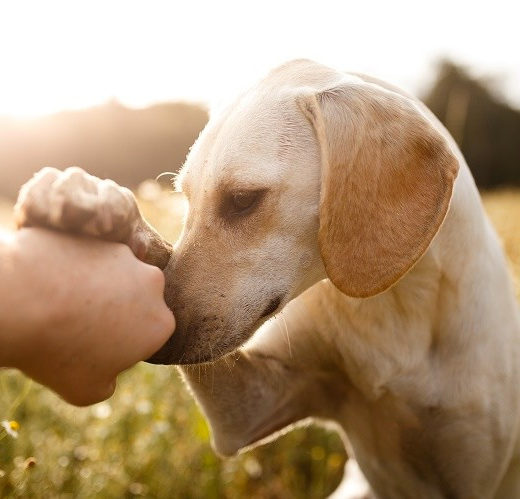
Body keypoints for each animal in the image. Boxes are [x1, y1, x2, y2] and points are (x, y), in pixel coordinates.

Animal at [14, 60, 520, 498]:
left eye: (242, 200)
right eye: (186, 200)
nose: (160, 344)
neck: (391, 308)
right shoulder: (249, 411)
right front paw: (95, 201)